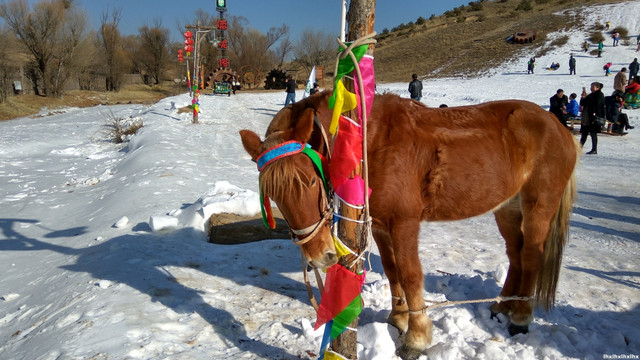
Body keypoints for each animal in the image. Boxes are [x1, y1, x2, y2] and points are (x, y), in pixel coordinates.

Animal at [240, 90, 580, 360]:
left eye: (311, 180)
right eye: (273, 195)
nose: (317, 257)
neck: (370, 143)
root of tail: (559, 127)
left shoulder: (404, 222)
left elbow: (410, 273)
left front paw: (417, 338)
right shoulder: (381, 225)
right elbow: (392, 272)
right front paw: (398, 319)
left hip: (538, 206)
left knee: (532, 255)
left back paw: (520, 317)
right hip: (507, 209)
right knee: (516, 255)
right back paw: (502, 306)